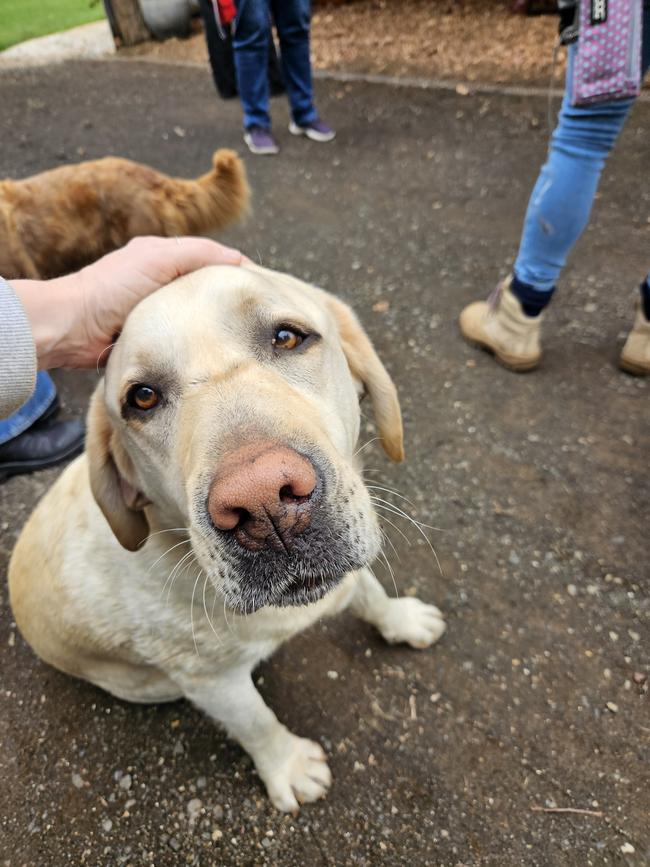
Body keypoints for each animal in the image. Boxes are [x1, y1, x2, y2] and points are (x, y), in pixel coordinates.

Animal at [8, 264, 446, 812]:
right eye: (142, 398)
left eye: (287, 337)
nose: (262, 503)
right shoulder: (210, 681)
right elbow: (256, 722)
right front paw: (289, 767)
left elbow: (368, 591)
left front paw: (401, 619)